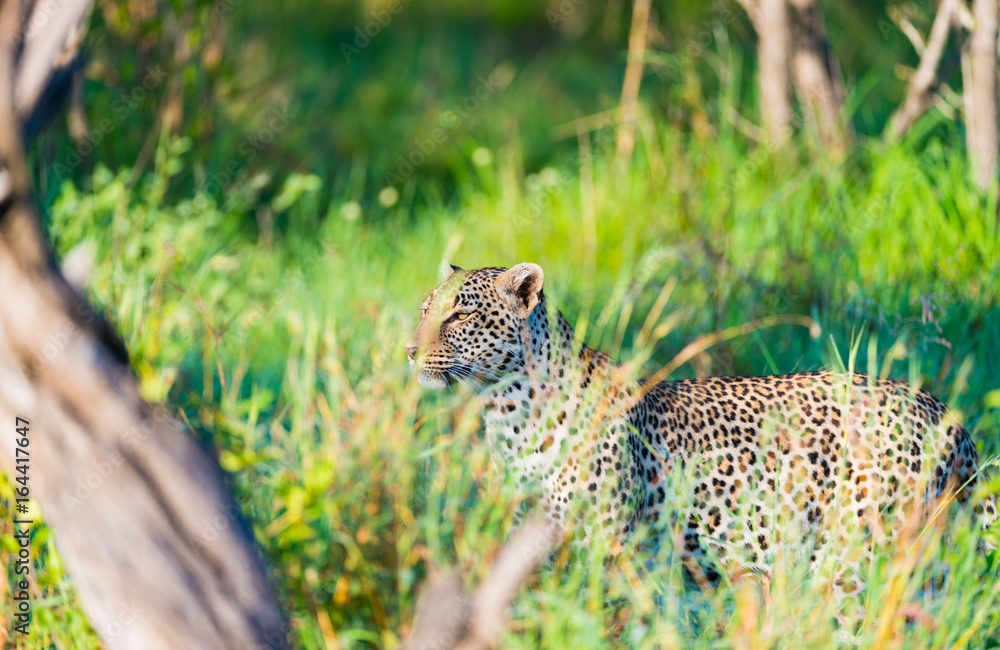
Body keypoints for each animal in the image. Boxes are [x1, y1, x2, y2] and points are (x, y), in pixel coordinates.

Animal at [406, 260, 999, 620]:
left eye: (460, 312)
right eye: (425, 308)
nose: (409, 350)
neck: (507, 411)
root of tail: (944, 411)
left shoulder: (605, 549)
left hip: (859, 560)